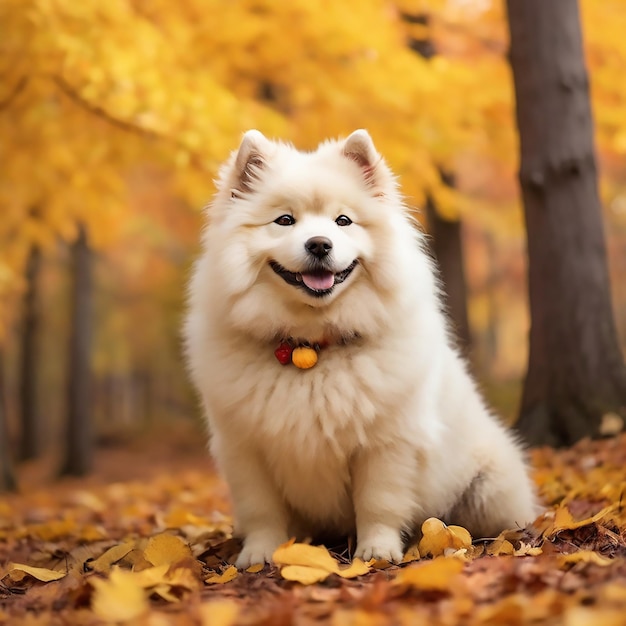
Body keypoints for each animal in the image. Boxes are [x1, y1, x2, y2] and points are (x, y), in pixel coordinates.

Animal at [182, 129, 536, 568]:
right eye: (285, 221)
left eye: (343, 221)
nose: (319, 244)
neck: (311, 347)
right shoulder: (245, 448)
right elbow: (261, 510)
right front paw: (260, 554)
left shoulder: (386, 445)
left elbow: (378, 502)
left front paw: (376, 552)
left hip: (488, 486)